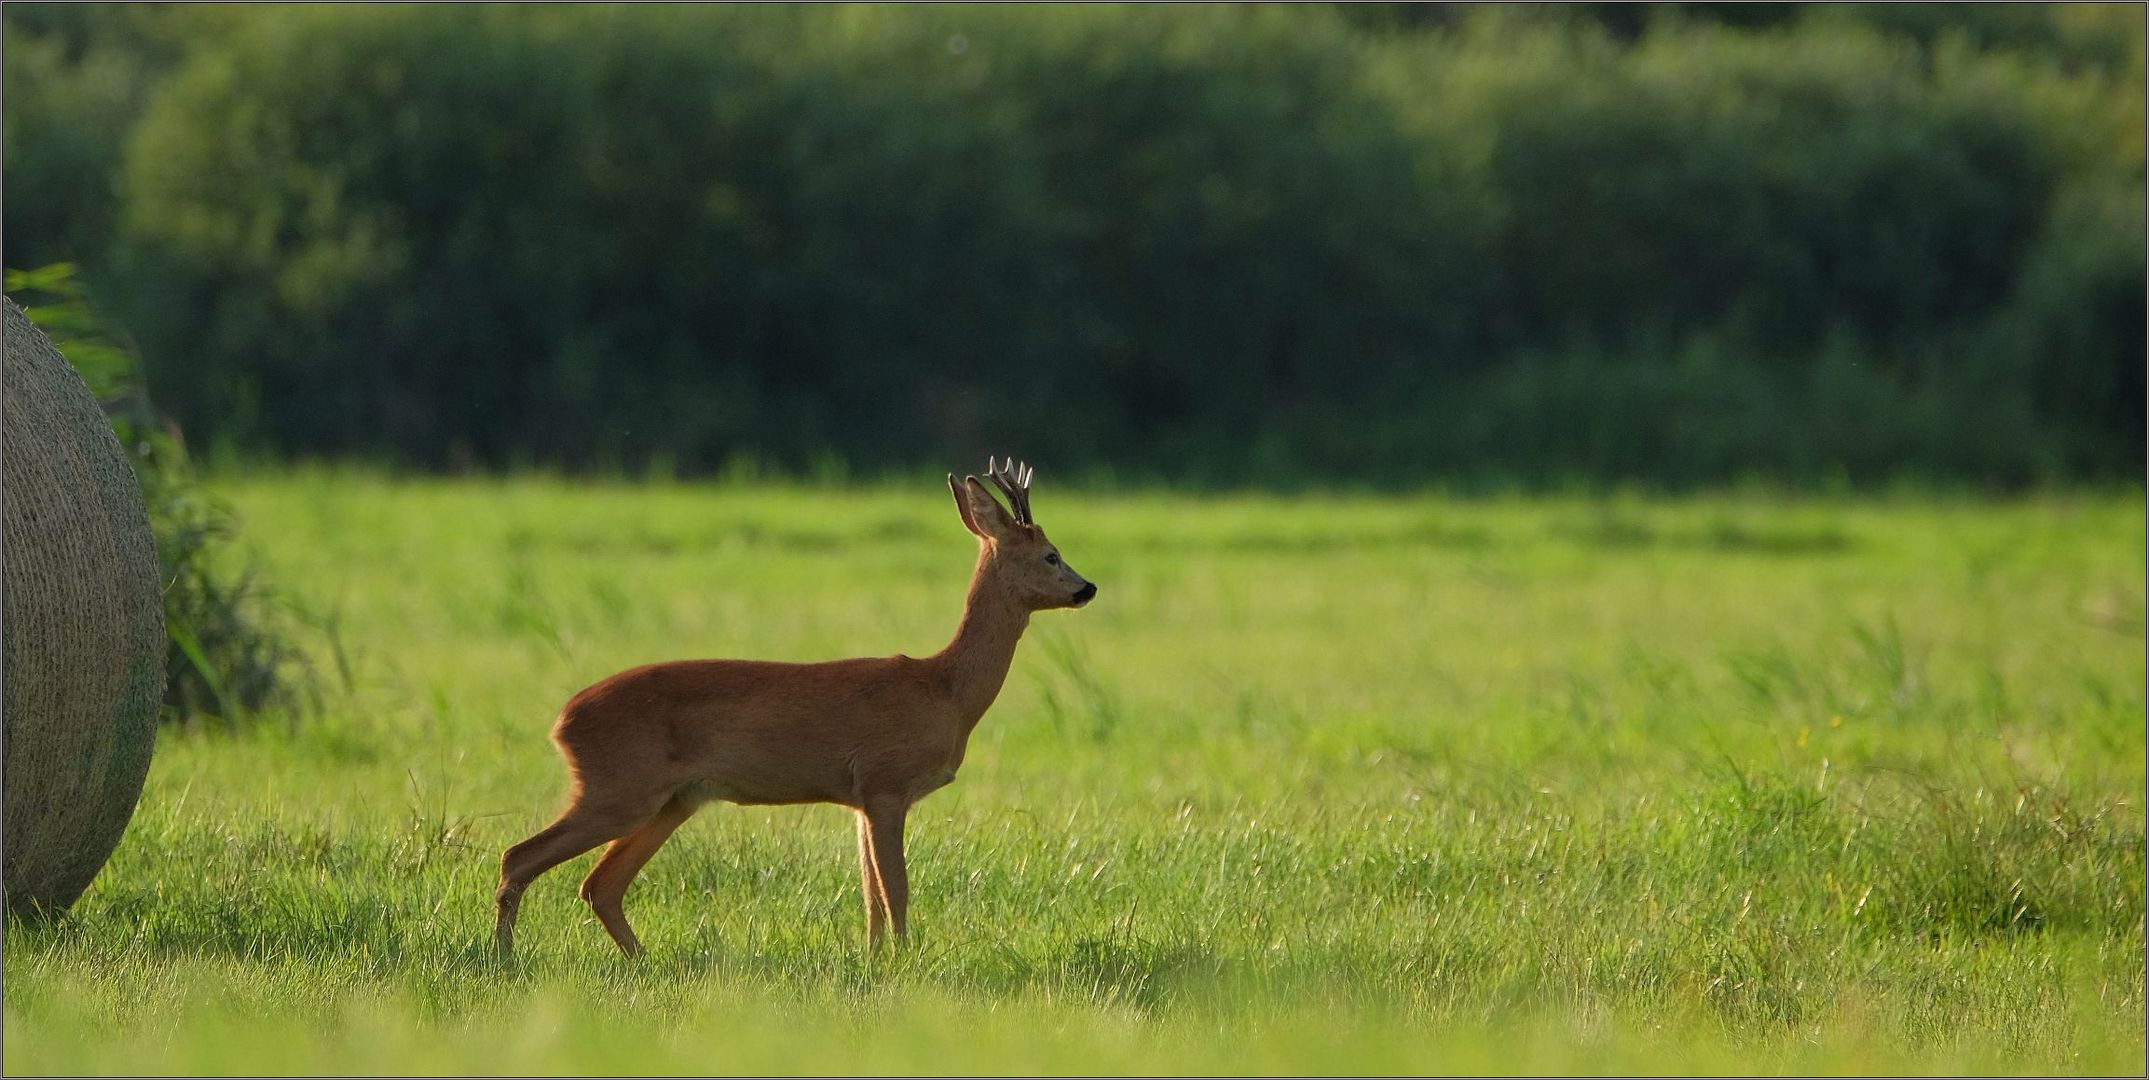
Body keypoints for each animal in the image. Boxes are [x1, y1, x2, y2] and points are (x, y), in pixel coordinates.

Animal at [487, 461, 1091, 957]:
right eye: (1051, 554)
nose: (1087, 588)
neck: (946, 690)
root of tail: (562, 722)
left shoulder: (859, 798)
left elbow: (871, 893)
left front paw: (875, 960)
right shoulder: (886, 781)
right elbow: (895, 889)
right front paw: (905, 960)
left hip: (673, 800)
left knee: (600, 884)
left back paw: (643, 961)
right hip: (619, 788)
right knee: (521, 856)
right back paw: (504, 959)